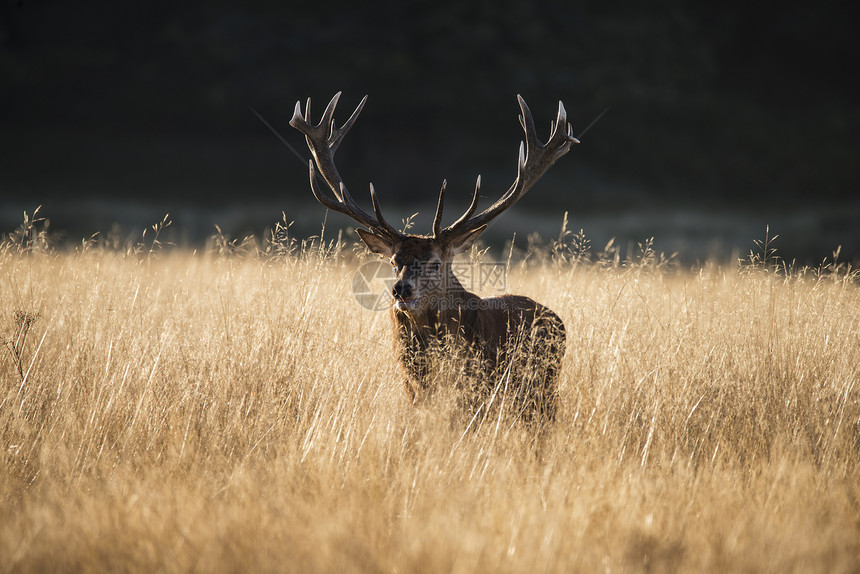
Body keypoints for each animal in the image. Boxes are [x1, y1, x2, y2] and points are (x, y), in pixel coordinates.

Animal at [288, 93, 576, 428]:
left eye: (436, 263)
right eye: (393, 262)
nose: (401, 289)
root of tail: (557, 319)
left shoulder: (479, 395)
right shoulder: (414, 395)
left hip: (543, 389)